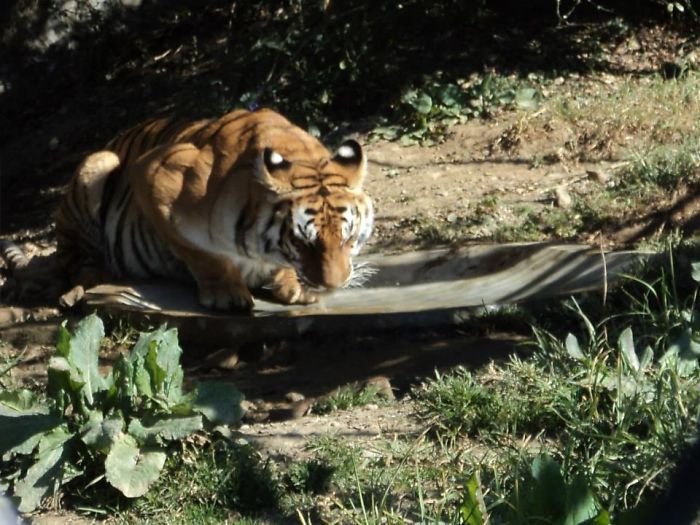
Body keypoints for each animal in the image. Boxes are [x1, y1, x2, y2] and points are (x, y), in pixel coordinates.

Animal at [55, 108, 374, 310]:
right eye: (301, 242)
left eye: (347, 238)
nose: (333, 285)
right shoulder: (153, 174)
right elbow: (202, 253)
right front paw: (226, 293)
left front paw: (293, 283)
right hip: (99, 164)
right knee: (75, 259)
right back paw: (80, 290)